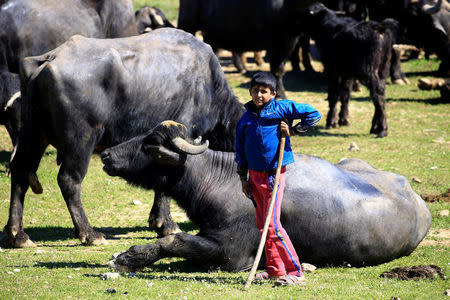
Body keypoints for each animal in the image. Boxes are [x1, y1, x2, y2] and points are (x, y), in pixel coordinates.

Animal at [4, 28, 243, 248]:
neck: (210, 87)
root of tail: (48, 60)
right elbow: (165, 184)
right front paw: (166, 225)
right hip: (80, 141)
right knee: (68, 180)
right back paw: (89, 233)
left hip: (32, 133)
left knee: (20, 171)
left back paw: (17, 234)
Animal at [103, 120, 432, 270]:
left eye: (150, 145)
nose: (106, 154)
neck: (217, 179)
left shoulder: (231, 254)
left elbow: (175, 240)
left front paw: (128, 257)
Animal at [178, 0, 314, 98]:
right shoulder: (275, 43)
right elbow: (275, 70)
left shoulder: (288, 43)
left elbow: (279, 70)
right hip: (188, 23)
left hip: (211, 35)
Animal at [302, 3, 398, 137]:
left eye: (306, 14)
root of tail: (380, 27)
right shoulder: (347, 73)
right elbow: (346, 94)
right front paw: (343, 120)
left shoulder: (332, 70)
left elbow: (334, 95)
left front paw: (331, 121)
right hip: (382, 70)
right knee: (381, 93)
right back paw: (375, 127)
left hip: (369, 71)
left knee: (377, 94)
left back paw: (382, 130)